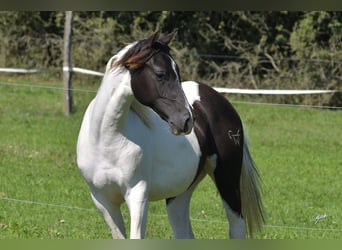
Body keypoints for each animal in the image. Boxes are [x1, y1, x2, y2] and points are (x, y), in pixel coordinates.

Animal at [77, 30, 264, 238]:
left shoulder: (137, 195)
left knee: (237, 227)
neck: (106, 141)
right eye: (160, 74)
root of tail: (219, 100)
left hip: (228, 181)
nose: (187, 119)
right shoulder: (102, 201)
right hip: (180, 194)